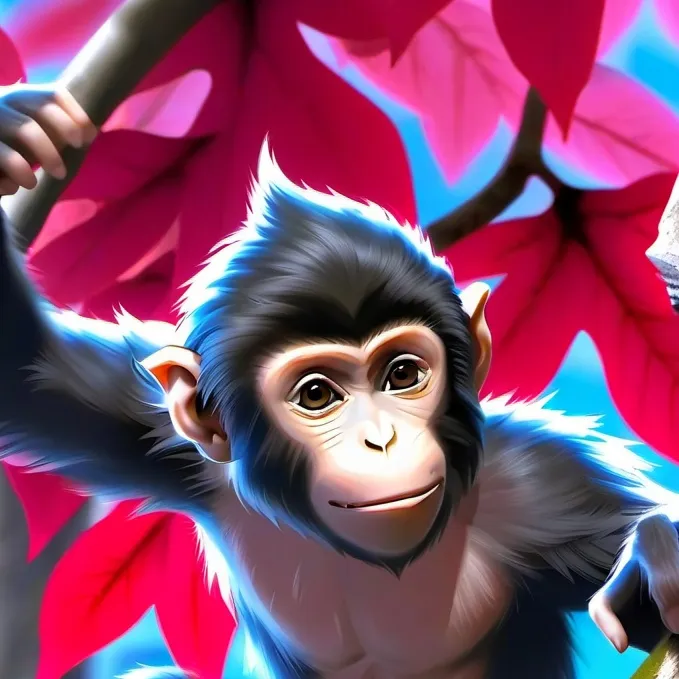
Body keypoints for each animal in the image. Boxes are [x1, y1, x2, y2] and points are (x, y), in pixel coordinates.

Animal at [4, 133, 679, 678]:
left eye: (402, 374)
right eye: (317, 395)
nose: (381, 438)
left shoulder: (540, 493)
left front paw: (656, 552)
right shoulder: (170, 442)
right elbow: (33, 376)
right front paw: (21, 126)